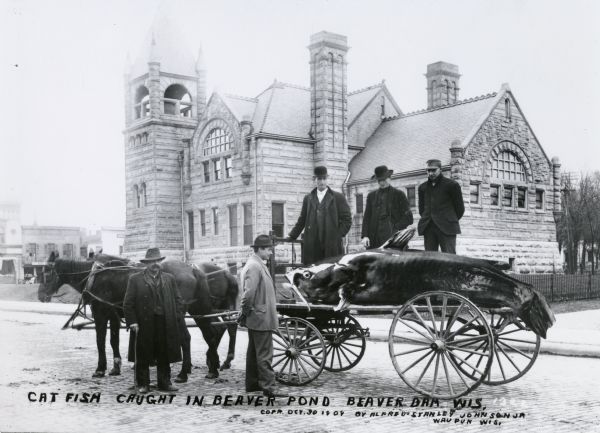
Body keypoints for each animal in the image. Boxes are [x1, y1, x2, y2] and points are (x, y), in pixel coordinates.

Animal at [36, 253, 239, 378]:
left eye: (46, 273)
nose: (40, 295)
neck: (96, 276)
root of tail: (192, 268)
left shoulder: (101, 313)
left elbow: (101, 340)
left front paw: (101, 368)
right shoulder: (114, 315)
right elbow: (114, 340)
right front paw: (116, 365)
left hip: (181, 312)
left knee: (192, 336)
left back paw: (189, 370)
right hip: (199, 309)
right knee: (213, 332)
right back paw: (213, 367)